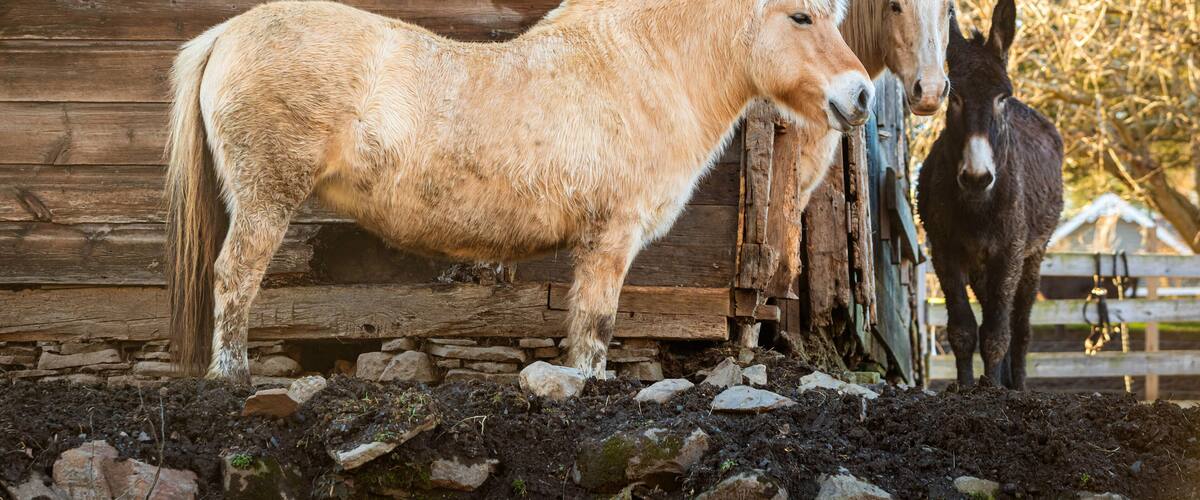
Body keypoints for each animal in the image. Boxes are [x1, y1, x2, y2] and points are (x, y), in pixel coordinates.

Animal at [166, 0, 875, 383]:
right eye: (802, 15)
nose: (862, 95)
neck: (636, 71)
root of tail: (227, 33)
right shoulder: (610, 240)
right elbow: (596, 326)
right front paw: (583, 385)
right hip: (266, 197)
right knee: (234, 276)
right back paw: (233, 375)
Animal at [916, 0, 1064, 389]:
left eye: (1002, 97)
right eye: (954, 97)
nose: (977, 177)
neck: (976, 207)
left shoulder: (1009, 253)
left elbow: (998, 333)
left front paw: (994, 390)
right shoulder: (945, 252)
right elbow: (964, 330)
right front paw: (968, 387)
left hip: (1032, 255)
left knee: (1020, 326)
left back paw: (1017, 385)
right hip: (981, 266)